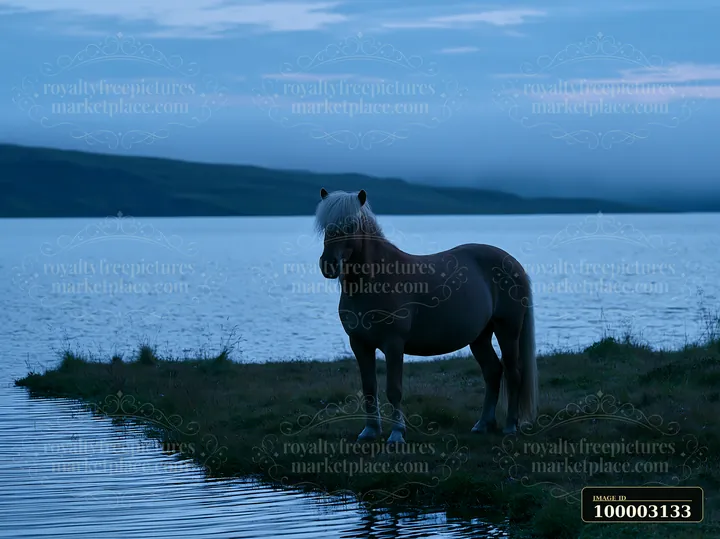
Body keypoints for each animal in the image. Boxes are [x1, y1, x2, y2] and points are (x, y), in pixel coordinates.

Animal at [315, 188, 538, 443]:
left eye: (351, 225)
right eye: (325, 225)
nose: (328, 265)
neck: (375, 280)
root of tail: (513, 263)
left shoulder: (394, 344)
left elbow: (394, 389)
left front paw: (397, 434)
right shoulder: (360, 344)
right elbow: (369, 388)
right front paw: (370, 430)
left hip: (507, 330)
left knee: (513, 374)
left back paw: (511, 425)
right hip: (480, 336)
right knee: (493, 372)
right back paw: (482, 424)